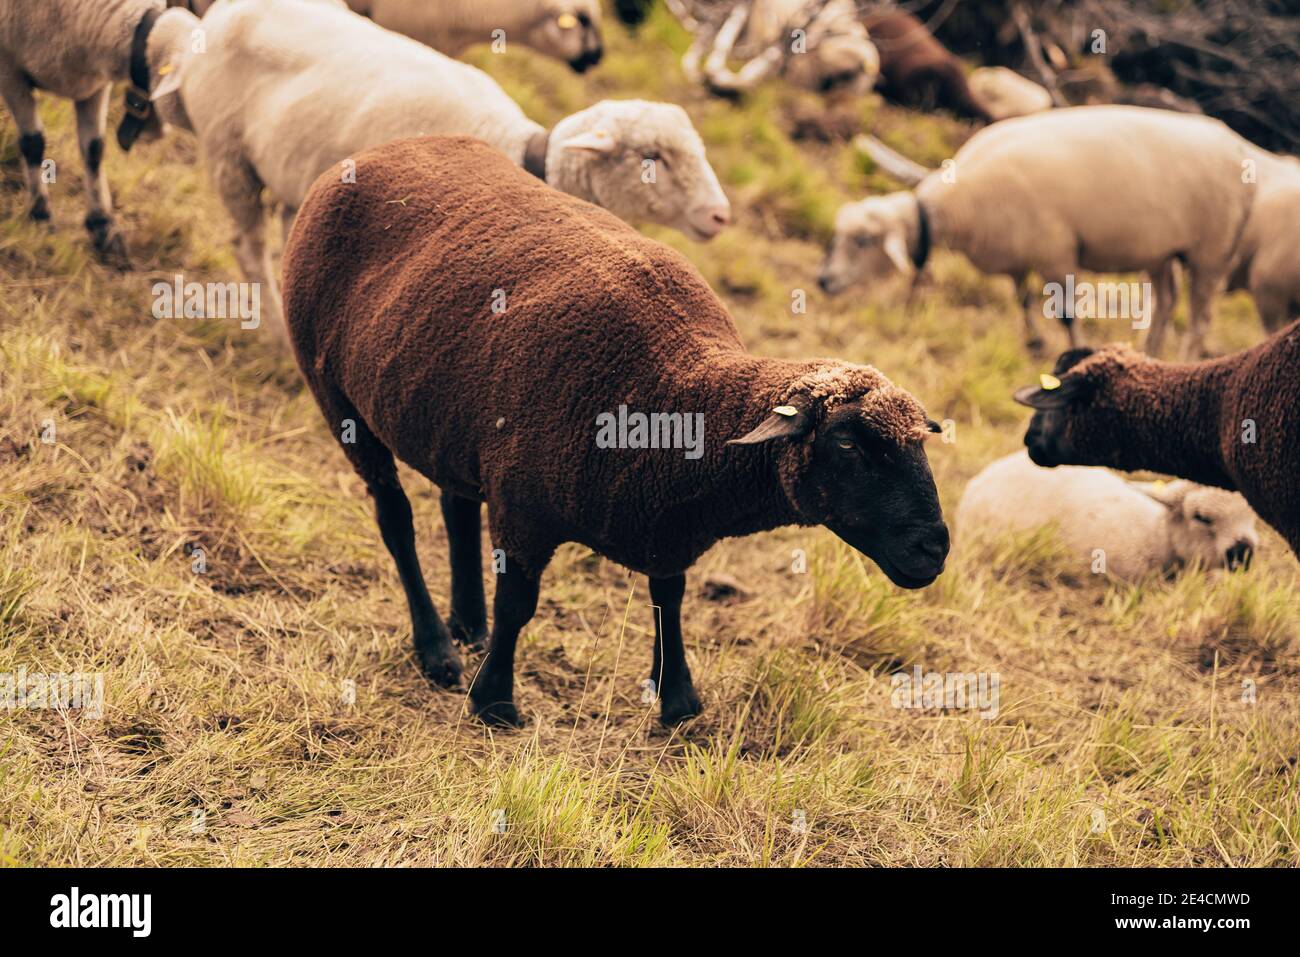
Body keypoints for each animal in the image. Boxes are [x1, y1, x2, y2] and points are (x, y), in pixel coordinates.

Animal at [0, 0, 180, 266]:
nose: (159, 133)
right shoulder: (10, 71)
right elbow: (33, 143)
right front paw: (40, 217)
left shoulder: (94, 84)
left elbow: (94, 150)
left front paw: (104, 227)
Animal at [281, 134, 951, 727]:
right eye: (849, 444)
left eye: (920, 444)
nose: (934, 550)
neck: (683, 392)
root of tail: (372, 152)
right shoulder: (524, 508)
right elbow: (519, 604)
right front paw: (494, 701)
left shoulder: (665, 523)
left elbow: (669, 597)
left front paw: (676, 698)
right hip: (335, 396)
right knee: (395, 517)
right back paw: (437, 650)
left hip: (449, 414)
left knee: (455, 504)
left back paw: (466, 625)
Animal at [818, 106, 1264, 358]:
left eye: (862, 240)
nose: (822, 281)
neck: (961, 204)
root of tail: (1236, 146)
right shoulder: (1020, 254)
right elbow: (1022, 298)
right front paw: (1033, 343)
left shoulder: (1056, 253)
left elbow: (1065, 314)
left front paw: (1076, 354)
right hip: (1159, 249)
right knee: (1167, 301)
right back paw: (1150, 355)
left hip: (1211, 252)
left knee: (1200, 319)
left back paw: (1184, 361)